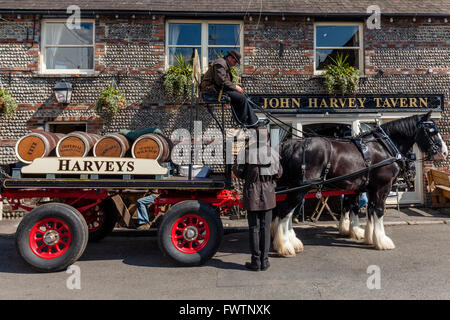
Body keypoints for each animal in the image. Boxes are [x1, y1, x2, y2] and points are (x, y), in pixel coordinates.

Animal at [272, 112, 448, 258]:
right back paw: (285, 246)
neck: (384, 147)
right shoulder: (382, 188)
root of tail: (291, 144)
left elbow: (367, 210)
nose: (444, 152)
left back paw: (291, 241)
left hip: (292, 187)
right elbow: (378, 211)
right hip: (300, 188)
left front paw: (369, 237)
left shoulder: (369, 189)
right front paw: (382, 241)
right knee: (285, 211)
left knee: (285, 212)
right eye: (431, 131)